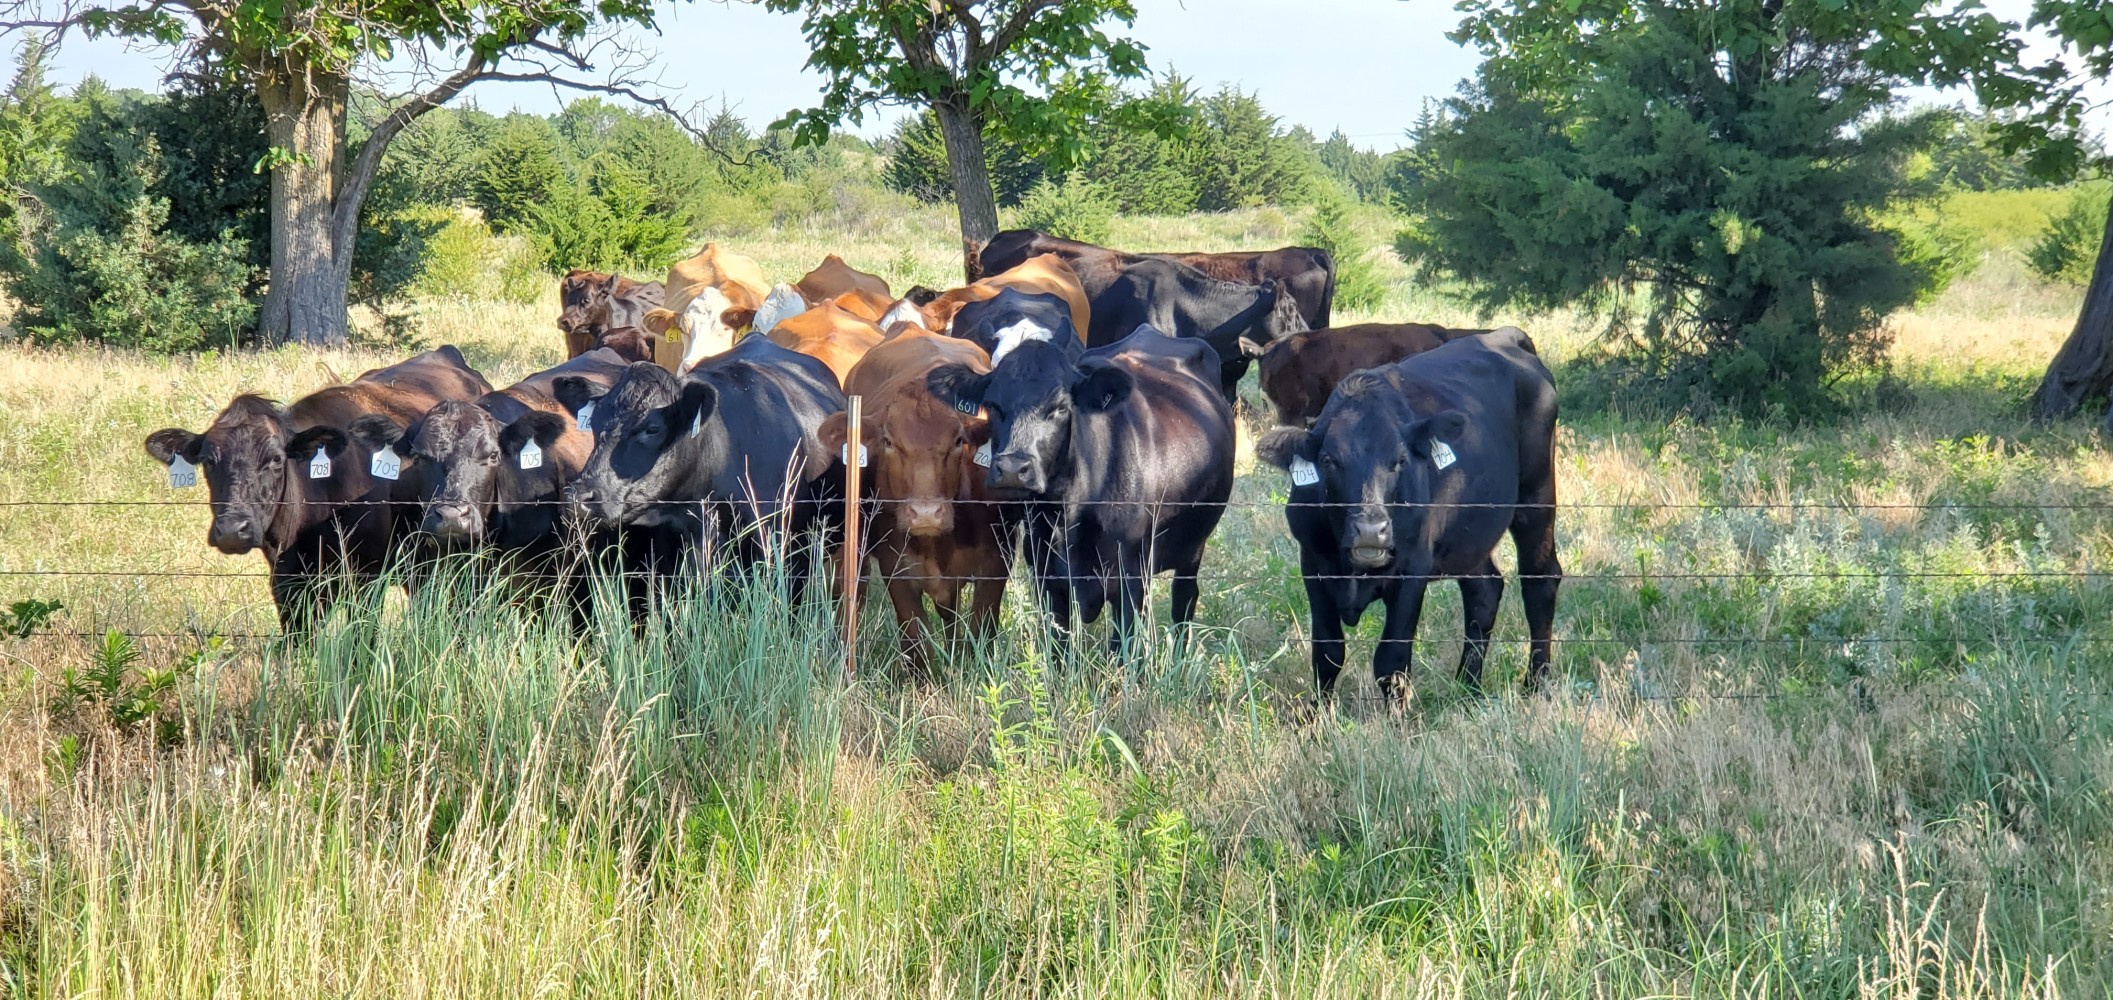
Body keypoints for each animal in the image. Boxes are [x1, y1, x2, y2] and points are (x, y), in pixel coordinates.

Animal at [817, 327, 1011, 674]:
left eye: (959, 440)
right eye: (888, 441)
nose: (925, 514)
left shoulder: (996, 565)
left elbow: (979, 635)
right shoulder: (897, 568)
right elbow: (917, 642)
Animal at [926, 326, 1234, 647]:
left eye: (1060, 408)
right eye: (993, 405)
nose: (1012, 469)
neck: (1067, 511)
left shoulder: (1131, 583)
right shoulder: (1047, 580)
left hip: (1193, 548)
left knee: (1184, 602)